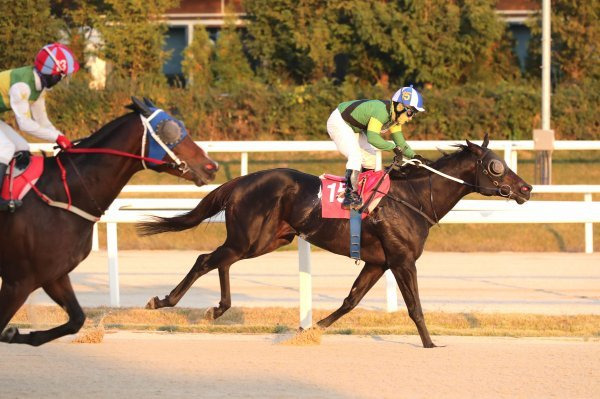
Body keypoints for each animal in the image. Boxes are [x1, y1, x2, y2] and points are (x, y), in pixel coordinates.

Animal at [0, 97, 219, 346]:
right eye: (170, 129)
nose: (211, 166)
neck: (64, 193)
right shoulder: (18, 280)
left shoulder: (53, 274)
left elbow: (77, 319)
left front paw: (14, 333)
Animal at [139, 136, 528, 348]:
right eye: (495, 166)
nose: (525, 188)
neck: (414, 197)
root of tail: (240, 182)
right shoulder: (402, 260)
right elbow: (415, 307)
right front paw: (431, 343)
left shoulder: (378, 262)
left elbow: (351, 301)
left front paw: (311, 329)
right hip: (251, 239)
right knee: (206, 259)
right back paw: (164, 300)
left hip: (264, 240)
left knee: (220, 261)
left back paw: (218, 308)